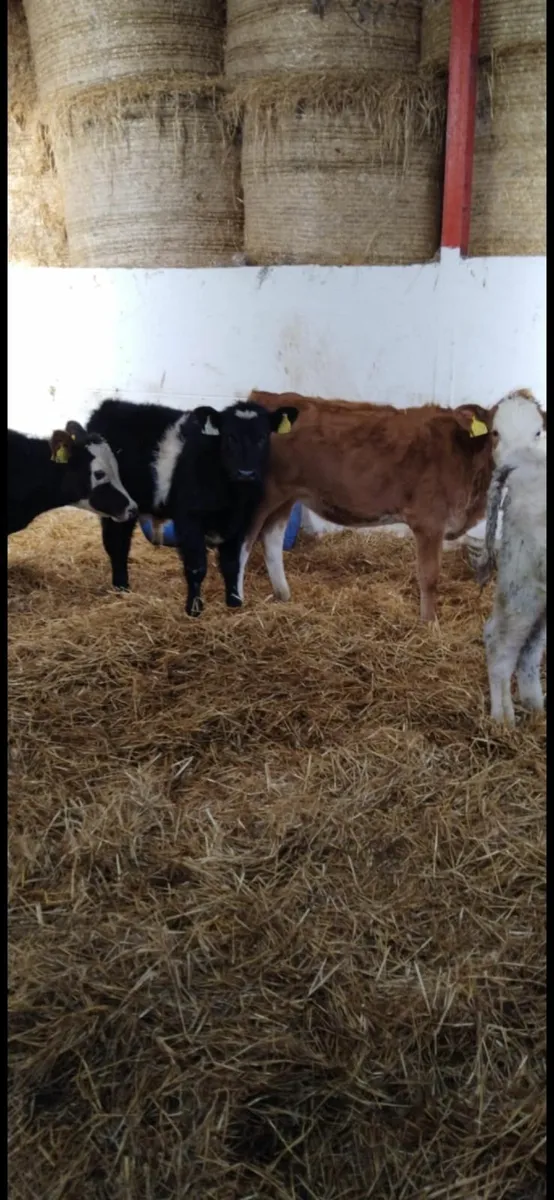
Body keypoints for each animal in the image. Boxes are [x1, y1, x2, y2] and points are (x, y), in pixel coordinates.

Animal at [85, 397, 299, 616]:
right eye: (230, 436)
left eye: (263, 436)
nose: (246, 473)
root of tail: (110, 404)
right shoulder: (189, 518)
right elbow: (197, 567)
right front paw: (194, 608)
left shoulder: (241, 520)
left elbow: (232, 564)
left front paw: (234, 602)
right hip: (115, 506)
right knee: (117, 544)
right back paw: (121, 587)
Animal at [236, 390, 496, 622]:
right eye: (495, 431)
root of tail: (264, 396)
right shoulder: (429, 521)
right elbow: (429, 577)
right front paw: (430, 624)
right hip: (259, 496)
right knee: (243, 544)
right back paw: (237, 602)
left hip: (287, 496)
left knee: (271, 539)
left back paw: (284, 595)